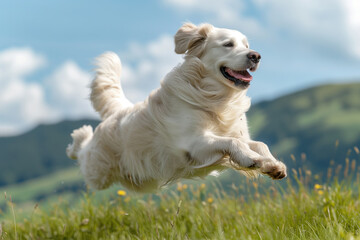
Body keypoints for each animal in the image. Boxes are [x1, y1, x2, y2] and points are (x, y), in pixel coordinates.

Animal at [67, 22, 286, 193]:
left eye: (247, 45)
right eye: (228, 44)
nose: (256, 56)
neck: (217, 100)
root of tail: (120, 111)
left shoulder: (237, 134)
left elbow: (259, 144)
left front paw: (272, 165)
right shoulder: (191, 144)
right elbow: (232, 142)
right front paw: (250, 158)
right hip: (98, 170)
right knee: (83, 153)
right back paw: (78, 138)